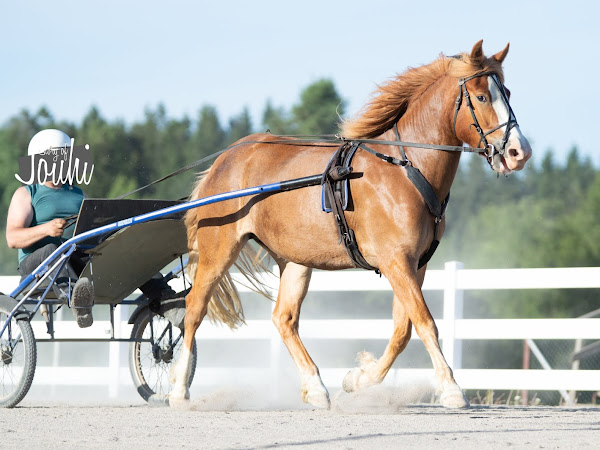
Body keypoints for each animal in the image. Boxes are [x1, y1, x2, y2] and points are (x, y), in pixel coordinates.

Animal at [171, 41, 532, 408]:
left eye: (507, 92)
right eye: (482, 96)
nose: (520, 152)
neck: (406, 168)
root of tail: (227, 157)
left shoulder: (415, 265)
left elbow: (403, 330)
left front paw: (359, 379)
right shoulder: (395, 261)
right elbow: (425, 323)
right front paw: (450, 388)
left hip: (295, 260)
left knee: (284, 319)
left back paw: (315, 386)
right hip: (219, 249)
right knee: (194, 309)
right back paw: (179, 388)